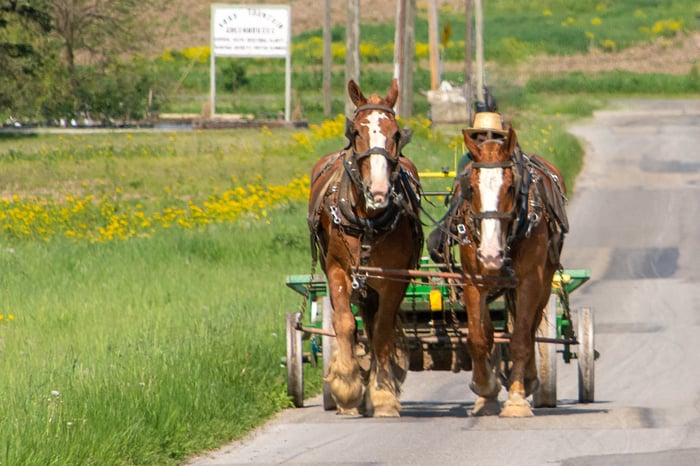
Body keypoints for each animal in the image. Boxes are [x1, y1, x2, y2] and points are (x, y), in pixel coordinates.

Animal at [308, 79, 423, 417]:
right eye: (356, 132)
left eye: (396, 133)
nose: (379, 191)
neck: (368, 220)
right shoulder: (337, 270)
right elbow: (345, 324)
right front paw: (347, 387)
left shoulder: (395, 277)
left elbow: (382, 331)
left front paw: (382, 393)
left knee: (374, 325)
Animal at [453, 126, 568, 417]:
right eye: (471, 187)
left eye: (510, 187)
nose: (490, 254)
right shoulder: (473, 281)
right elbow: (478, 338)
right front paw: (485, 388)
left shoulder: (529, 282)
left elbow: (520, 340)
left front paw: (516, 398)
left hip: (544, 283)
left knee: (530, 329)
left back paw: (528, 380)